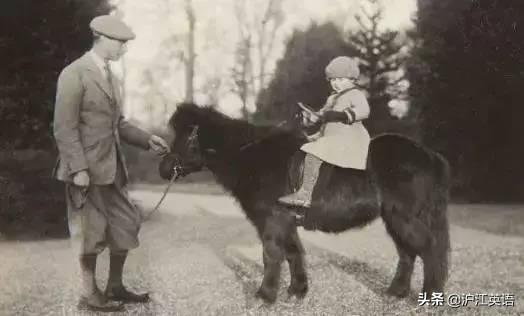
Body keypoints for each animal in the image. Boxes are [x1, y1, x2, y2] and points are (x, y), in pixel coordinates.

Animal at [160, 102, 450, 302]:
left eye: (185, 136)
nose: (164, 168)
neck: (253, 156)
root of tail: (429, 155)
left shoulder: (272, 220)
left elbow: (272, 254)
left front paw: (265, 296)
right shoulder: (286, 221)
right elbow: (293, 252)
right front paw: (297, 290)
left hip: (403, 217)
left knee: (428, 248)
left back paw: (430, 295)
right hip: (395, 219)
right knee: (408, 253)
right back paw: (396, 292)